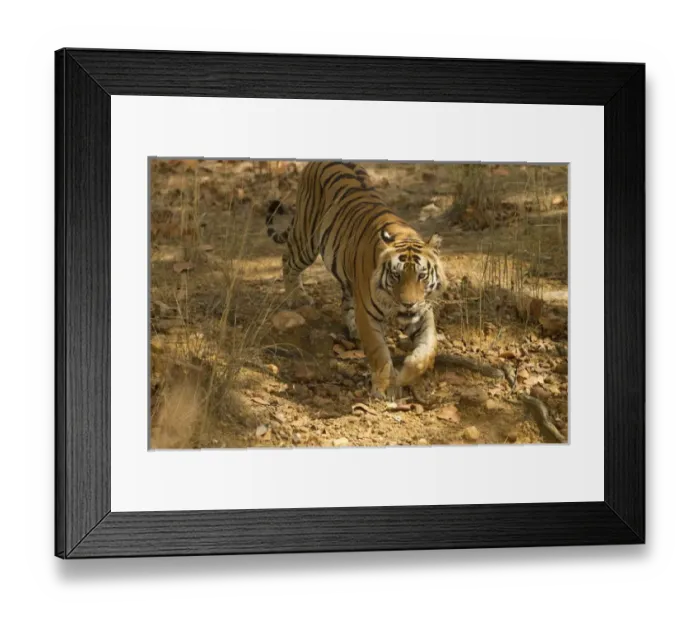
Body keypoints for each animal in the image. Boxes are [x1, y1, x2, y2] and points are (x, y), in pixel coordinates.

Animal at [266, 161, 446, 399]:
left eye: (422, 276)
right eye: (396, 275)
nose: (408, 304)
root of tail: (316, 161)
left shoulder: (423, 312)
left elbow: (428, 349)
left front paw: (406, 375)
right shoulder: (368, 316)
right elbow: (379, 353)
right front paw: (385, 387)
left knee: (346, 301)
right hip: (306, 241)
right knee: (287, 260)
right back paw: (297, 297)